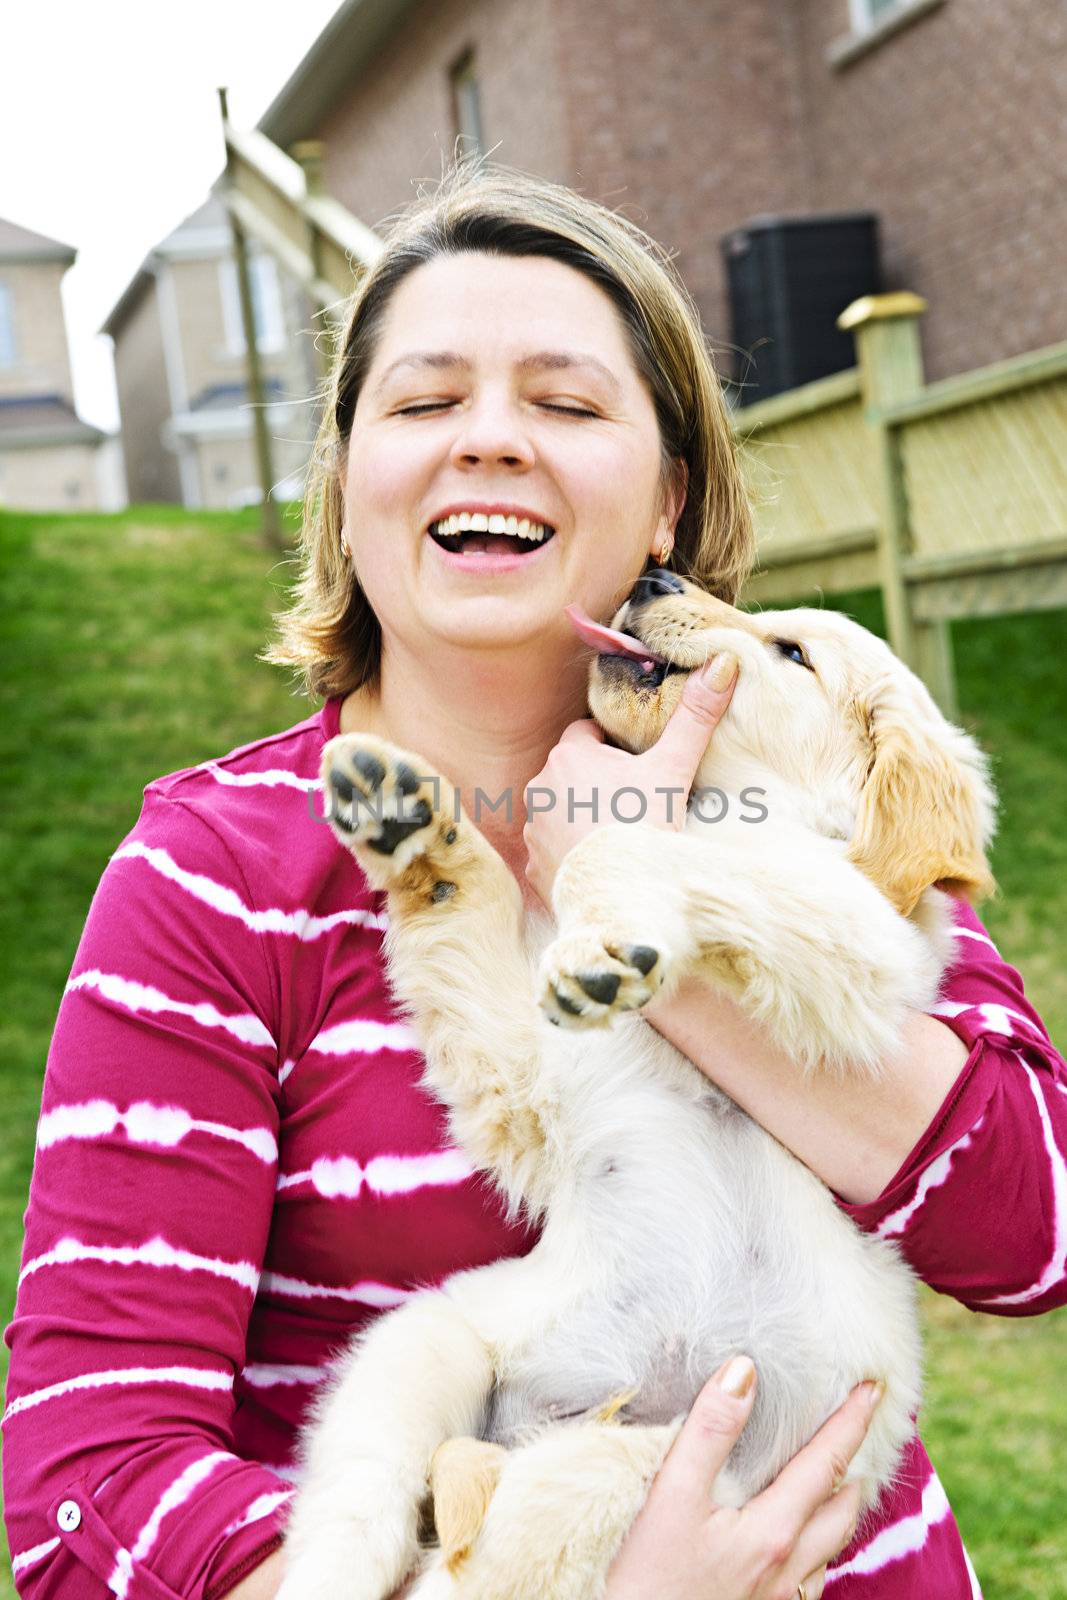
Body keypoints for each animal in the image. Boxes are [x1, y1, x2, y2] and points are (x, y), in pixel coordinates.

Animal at [279, 579, 998, 1600]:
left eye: (791, 653)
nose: (653, 581)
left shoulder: (857, 932)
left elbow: (627, 846)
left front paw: (601, 945)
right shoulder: (531, 1078)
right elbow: (485, 908)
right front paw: (421, 834)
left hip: (645, 1472)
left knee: (491, 1556)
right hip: (427, 1341)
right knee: (358, 1520)